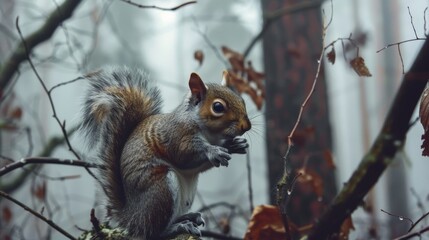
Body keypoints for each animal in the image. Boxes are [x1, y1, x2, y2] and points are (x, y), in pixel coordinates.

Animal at [80, 65, 251, 238]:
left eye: (241, 100)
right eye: (218, 107)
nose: (246, 126)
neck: (211, 134)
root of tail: (131, 216)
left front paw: (235, 145)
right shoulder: (176, 135)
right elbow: (183, 155)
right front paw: (213, 151)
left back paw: (189, 217)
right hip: (161, 191)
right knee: (153, 232)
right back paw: (178, 227)